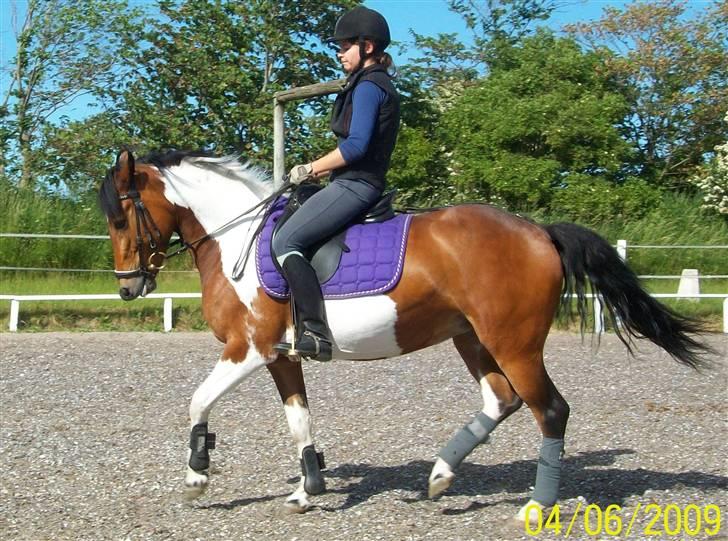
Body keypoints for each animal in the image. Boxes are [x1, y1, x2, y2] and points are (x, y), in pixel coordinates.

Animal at [98, 149, 711, 521]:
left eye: (121, 217)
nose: (129, 288)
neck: (236, 241)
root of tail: (538, 231)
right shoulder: (281, 355)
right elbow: (299, 420)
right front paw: (307, 490)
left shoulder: (248, 349)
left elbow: (197, 401)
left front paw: (197, 474)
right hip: (472, 338)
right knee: (501, 399)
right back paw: (440, 476)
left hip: (513, 343)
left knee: (550, 410)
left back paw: (535, 507)